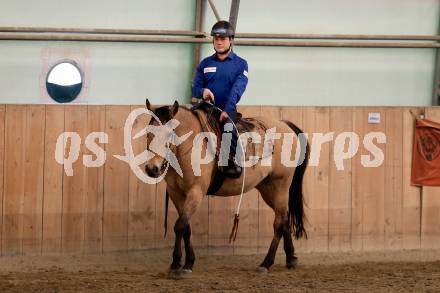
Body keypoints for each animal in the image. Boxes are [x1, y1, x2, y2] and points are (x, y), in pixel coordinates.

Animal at [143, 98, 308, 276]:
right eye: (148, 133)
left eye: (169, 134)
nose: (152, 169)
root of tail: (284, 124)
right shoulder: (176, 193)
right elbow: (186, 227)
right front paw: (185, 262)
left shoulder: (196, 191)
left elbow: (180, 226)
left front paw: (180, 264)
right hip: (268, 189)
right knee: (284, 218)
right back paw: (291, 258)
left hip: (281, 185)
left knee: (278, 223)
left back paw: (266, 263)